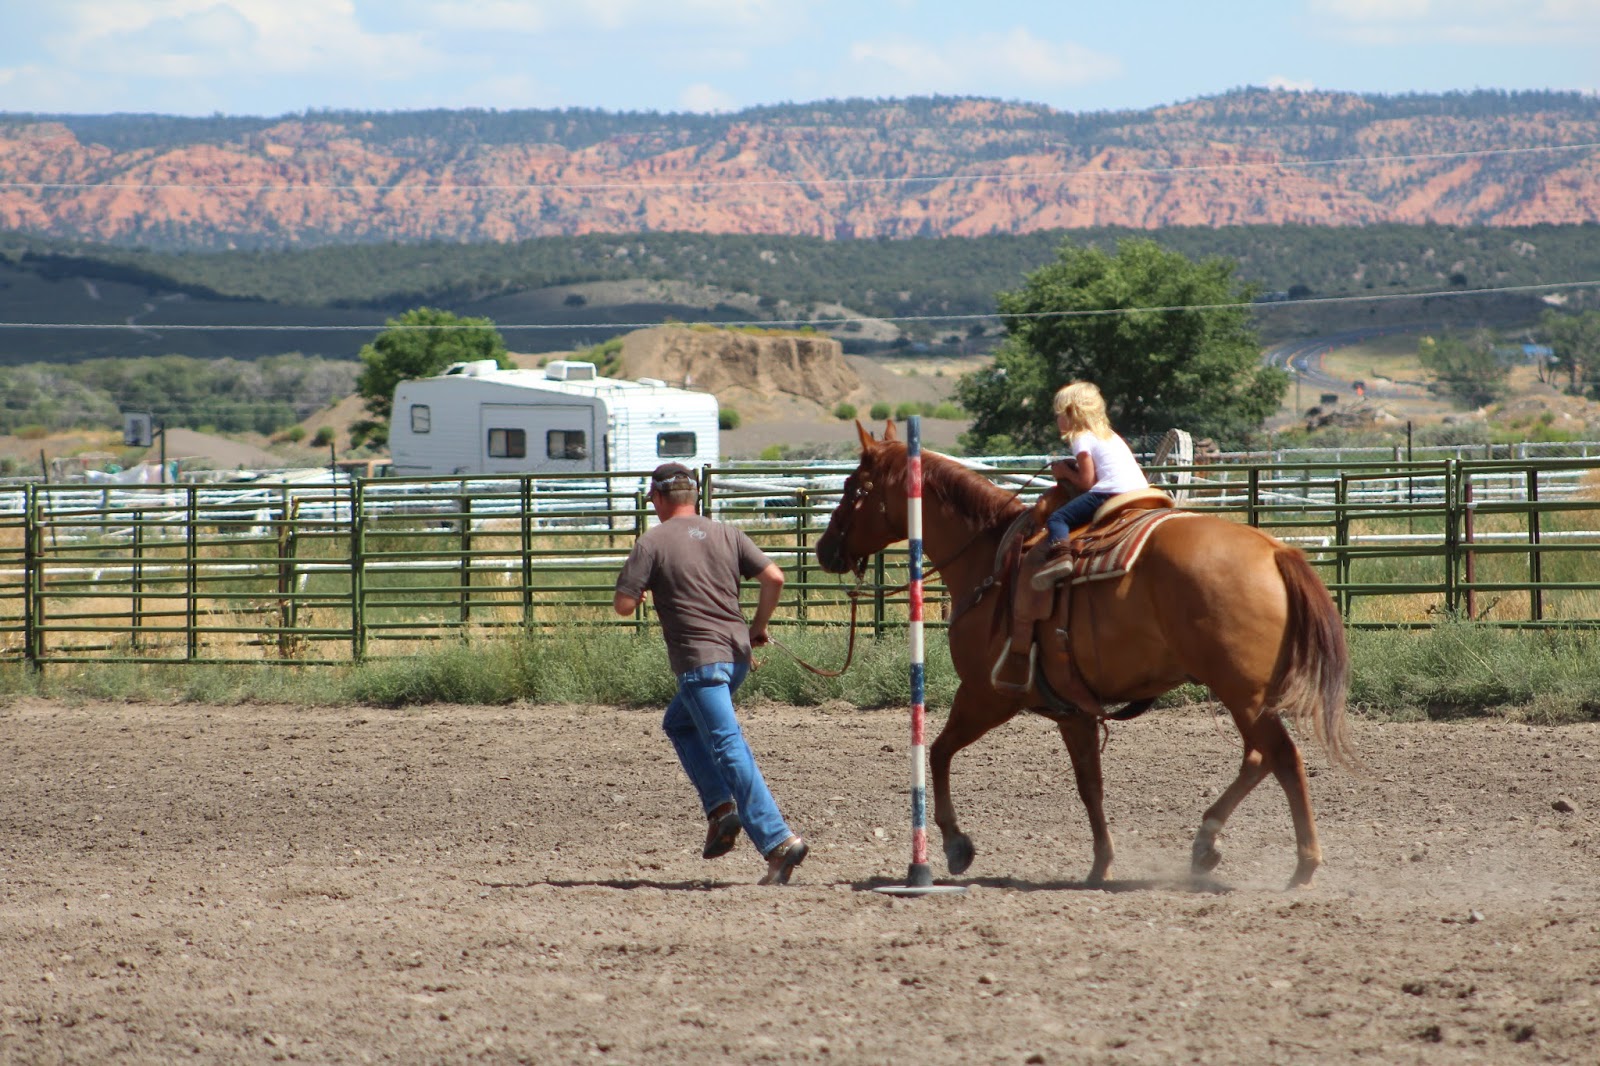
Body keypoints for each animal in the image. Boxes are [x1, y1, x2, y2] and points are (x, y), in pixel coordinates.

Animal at [815, 421, 1352, 889]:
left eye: (853, 486)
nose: (823, 549)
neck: (989, 560)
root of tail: (1274, 551)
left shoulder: (987, 694)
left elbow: (939, 751)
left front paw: (956, 845)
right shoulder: (1072, 711)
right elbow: (1089, 785)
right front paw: (1101, 865)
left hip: (1243, 694)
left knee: (1282, 758)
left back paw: (1303, 865)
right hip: (1245, 694)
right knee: (1258, 758)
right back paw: (1206, 844)